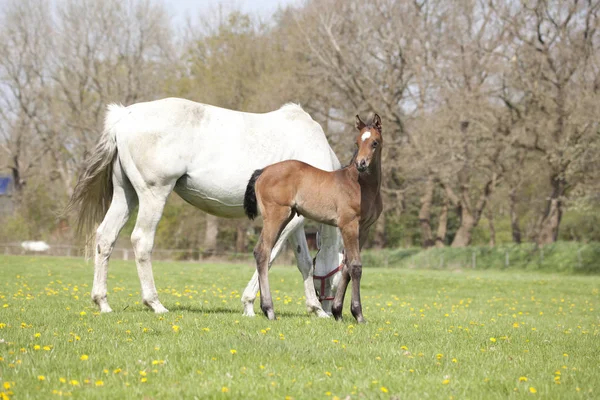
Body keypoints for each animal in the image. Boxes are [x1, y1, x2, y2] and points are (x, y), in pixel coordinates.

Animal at [67, 96, 342, 316]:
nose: (331, 310)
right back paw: (155, 303)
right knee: (141, 240)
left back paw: (103, 302)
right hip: (153, 194)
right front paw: (251, 304)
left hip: (126, 195)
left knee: (106, 237)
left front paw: (315, 309)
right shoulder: (290, 220)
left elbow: (303, 261)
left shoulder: (294, 221)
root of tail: (124, 116)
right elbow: (270, 255)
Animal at [245, 114, 382, 324]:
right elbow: (356, 266)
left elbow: (346, 267)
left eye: (374, 142)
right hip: (276, 215)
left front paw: (337, 312)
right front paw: (358, 314)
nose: (361, 164)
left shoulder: (364, 228)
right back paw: (269, 309)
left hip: (286, 217)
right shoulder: (349, 224)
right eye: (357, 143)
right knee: (262, 252)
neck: (362, 184)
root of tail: (263, 171)